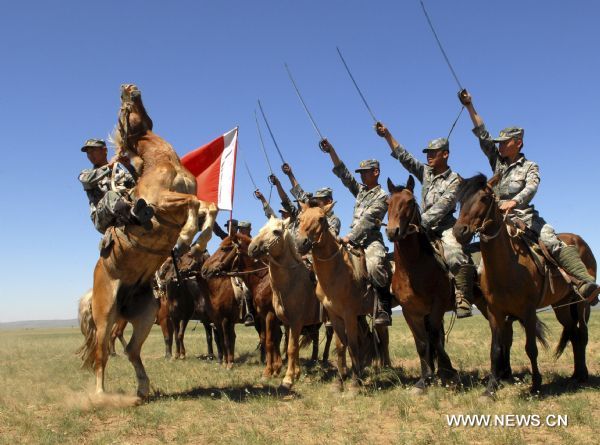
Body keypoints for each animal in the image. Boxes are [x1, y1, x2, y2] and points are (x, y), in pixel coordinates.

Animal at [78, 84, 218, 398]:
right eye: (123, 106)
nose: (129, 87)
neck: (161, 162)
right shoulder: (164, 202)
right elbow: (194, 205)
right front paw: (185, 237)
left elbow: (209, 207)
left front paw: (197, 242)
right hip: (106, 315)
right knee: (101, 353)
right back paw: (101, 396)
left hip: (144, 314)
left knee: (131, 350)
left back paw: (142, 389)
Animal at [202, 232, 284, 378]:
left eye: (224, 248)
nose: (204, 269)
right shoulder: (221, 321)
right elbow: (225, 340)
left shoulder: (227, 320)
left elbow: (267, 340)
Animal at [294, 200, 390, 388]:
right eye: (299, 219)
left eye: (321, 219)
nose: (301, 242)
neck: (336, 272)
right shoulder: (334, 314)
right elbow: (341, 345)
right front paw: (340, 379)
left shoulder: (349, 314)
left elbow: (352, 344)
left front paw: (354, 382)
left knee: (383, 335)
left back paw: (385, 367)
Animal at [454, 173, 596, 396]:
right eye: (461, 201)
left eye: (484, 198)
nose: (459, 231)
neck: (507, 266)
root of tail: (579, 240)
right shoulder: (495, 312)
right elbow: (496, 348)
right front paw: (491, 388)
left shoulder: (528, 312)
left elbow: (531, 348)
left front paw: (536, 384)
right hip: (562, 306)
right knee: (573, 334)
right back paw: (574, 376)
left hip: (581, 304)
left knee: (581, 334)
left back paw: (582, 376)